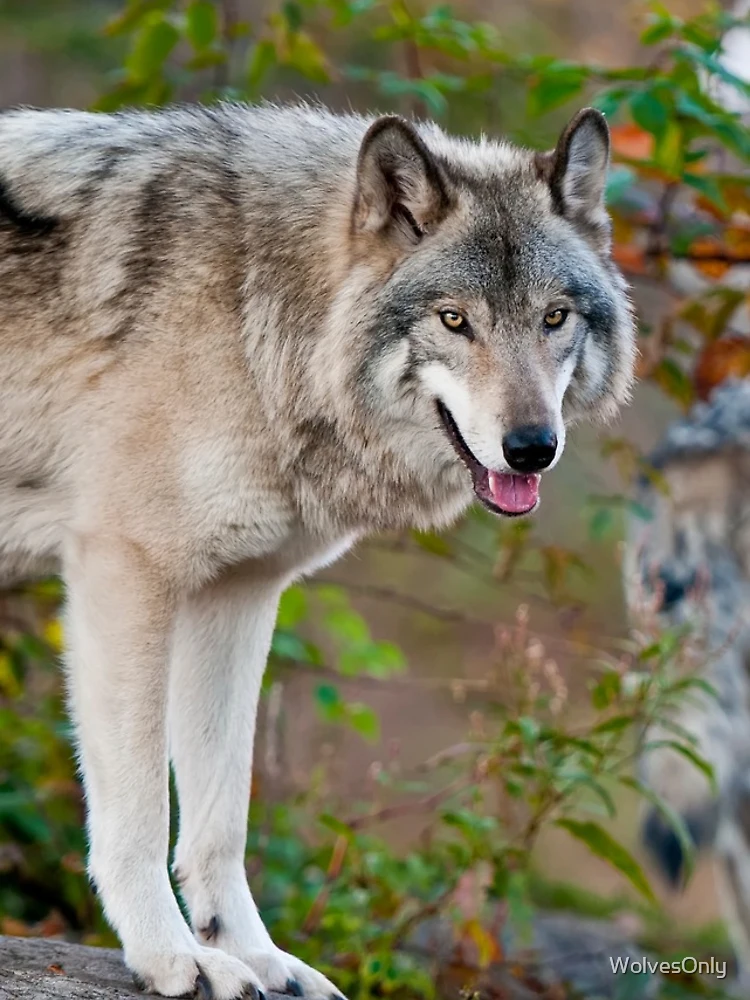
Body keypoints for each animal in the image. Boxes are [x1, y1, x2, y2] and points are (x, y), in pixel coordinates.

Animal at [0, 101, 635, 998]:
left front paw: (253, 956)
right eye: (454, 320)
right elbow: (140, 807)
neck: (254, 315)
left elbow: (222, 817)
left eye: (554, 318)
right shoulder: (125, 572)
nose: (532, 448)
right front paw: (170, 954)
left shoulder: (237, 593)